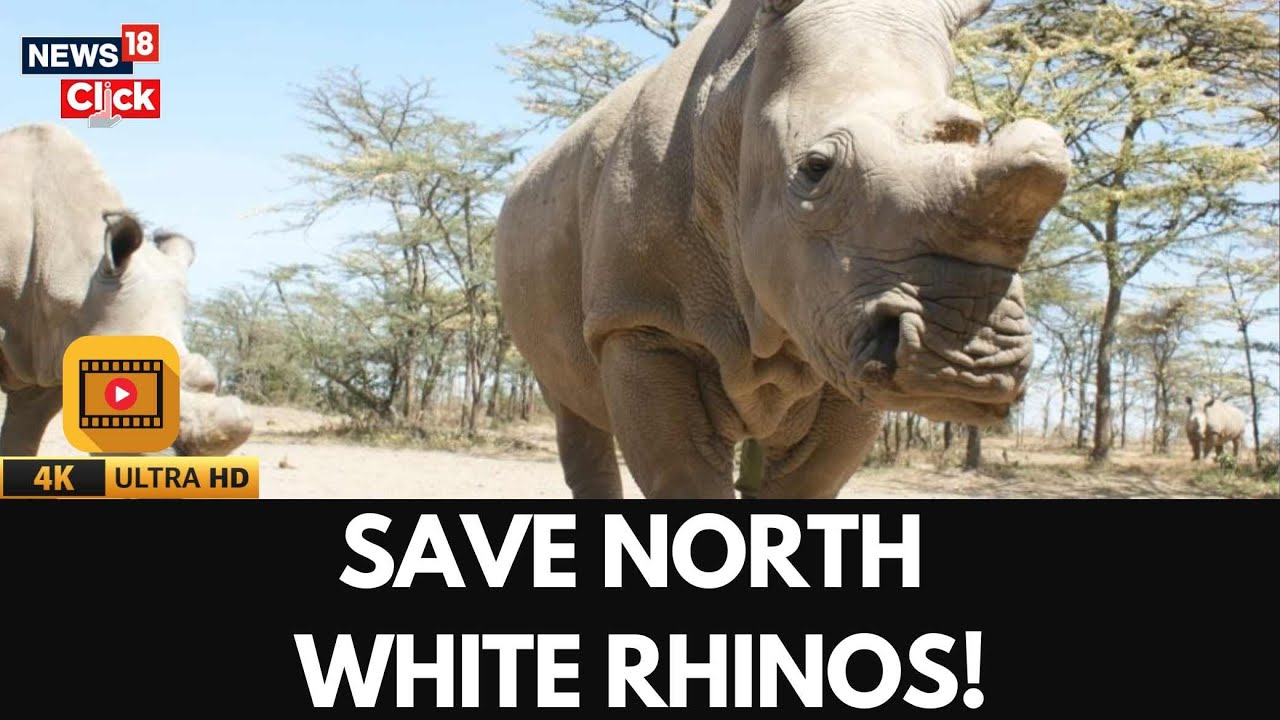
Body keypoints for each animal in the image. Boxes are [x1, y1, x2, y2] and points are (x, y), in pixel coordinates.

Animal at [495, 0, 1070, 499]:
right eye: (815, 168)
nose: (970, 363)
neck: (733, 106)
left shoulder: (837, 332)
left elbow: (807, 484)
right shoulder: (641, 320)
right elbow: (682, 479)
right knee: (571, 408)